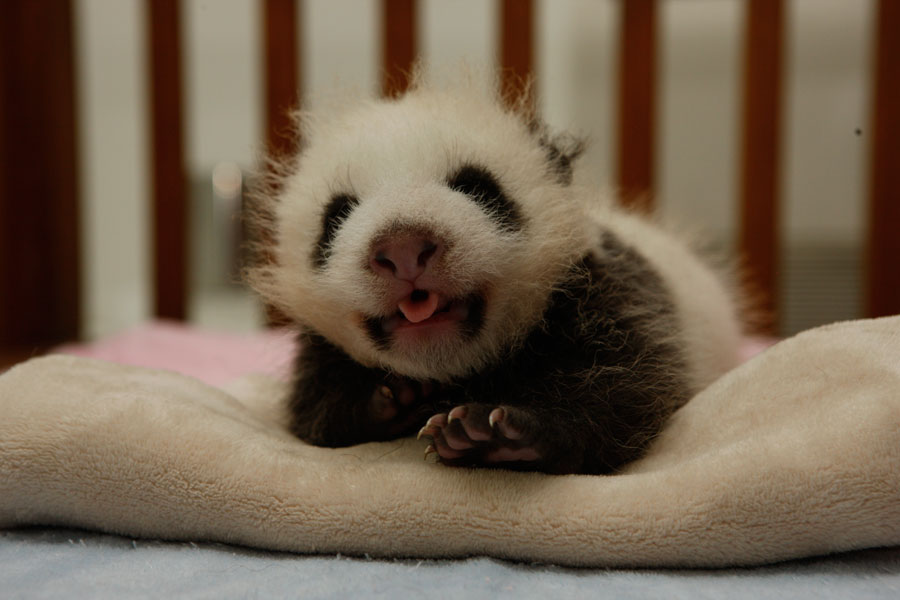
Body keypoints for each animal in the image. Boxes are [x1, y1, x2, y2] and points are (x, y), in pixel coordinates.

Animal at [250, 77, 740, 476]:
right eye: (336, 216)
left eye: (477, 188)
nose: (404, 248)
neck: (452, 368)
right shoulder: (319, 346)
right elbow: (315, 416)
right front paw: (395, 396)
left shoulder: (609, 293)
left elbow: (630, 390)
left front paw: (496, 435)